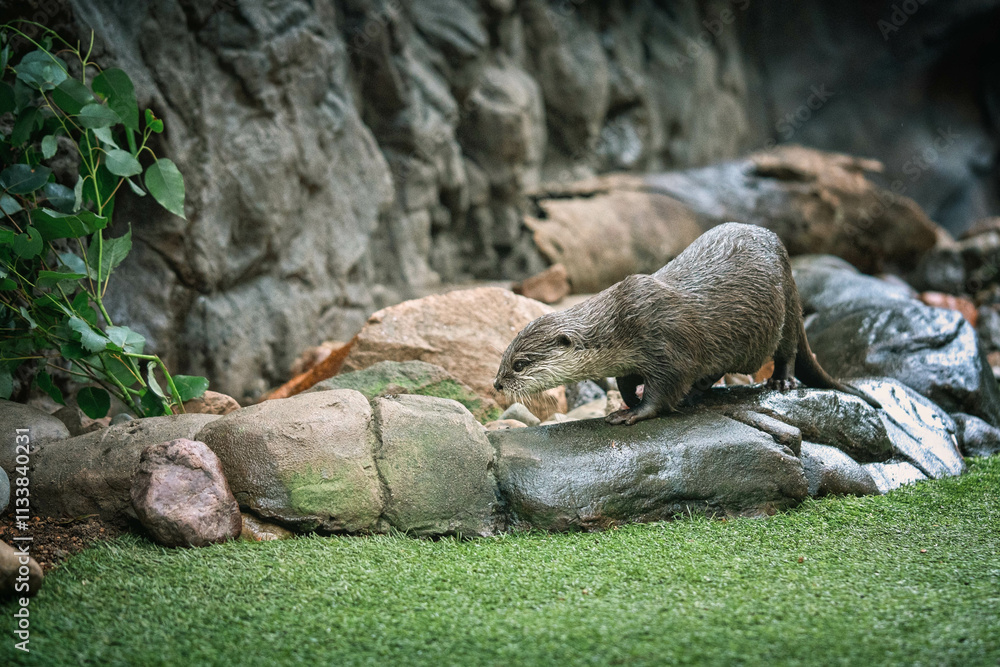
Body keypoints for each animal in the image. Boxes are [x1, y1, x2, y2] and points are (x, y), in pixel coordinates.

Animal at [494, 222, 880, 425]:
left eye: (520, 364)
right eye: (505, 358)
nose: (497, 384)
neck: (621, 324)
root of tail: (785, 255)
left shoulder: (668, 344)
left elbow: (664, 388)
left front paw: (634, 413)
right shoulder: (634, 357)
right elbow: (625, 380)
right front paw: (627, 400)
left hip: (784, 308)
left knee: (787, 349)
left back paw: (780, 382)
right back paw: (697, 393)